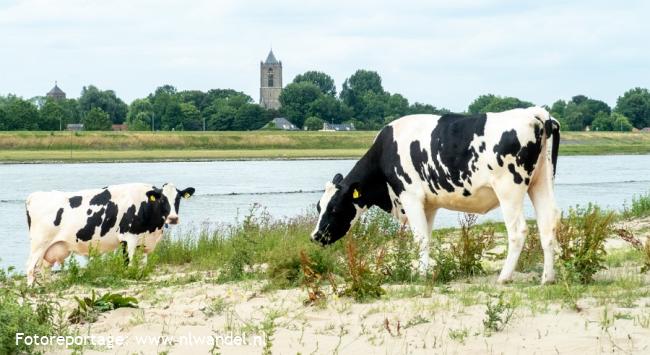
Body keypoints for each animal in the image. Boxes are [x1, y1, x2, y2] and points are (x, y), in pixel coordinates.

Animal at [26, 185, 195, 286]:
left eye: (178, 198)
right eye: (162, 199)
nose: (173, 218)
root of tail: (34, 196)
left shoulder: (143, 243)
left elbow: (143, 265)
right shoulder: (128, 238)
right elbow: (129, 264)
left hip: (50, 250)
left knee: (42, 270)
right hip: (38, 244)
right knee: (30, 268)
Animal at [312, 107, 560, 286]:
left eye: (334, 208)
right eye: (318, 207)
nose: (315, 236)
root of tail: (536, 112)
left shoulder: (410, 196)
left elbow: (420, 238)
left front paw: (420, 275)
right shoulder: (428, 205)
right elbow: (427, 238)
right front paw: (425, 269)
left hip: (509, 188)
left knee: (518, 231)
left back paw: (504, 277)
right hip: (541, 182)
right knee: (547, 225)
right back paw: (547, 278)